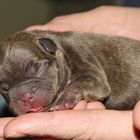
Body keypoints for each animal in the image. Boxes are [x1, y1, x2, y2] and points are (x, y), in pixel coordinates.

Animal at [0, 30, 140, 115]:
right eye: (4, 89)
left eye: (39, 68)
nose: (25, 96)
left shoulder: (92, 73)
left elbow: (78, 83)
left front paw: (62, 100)